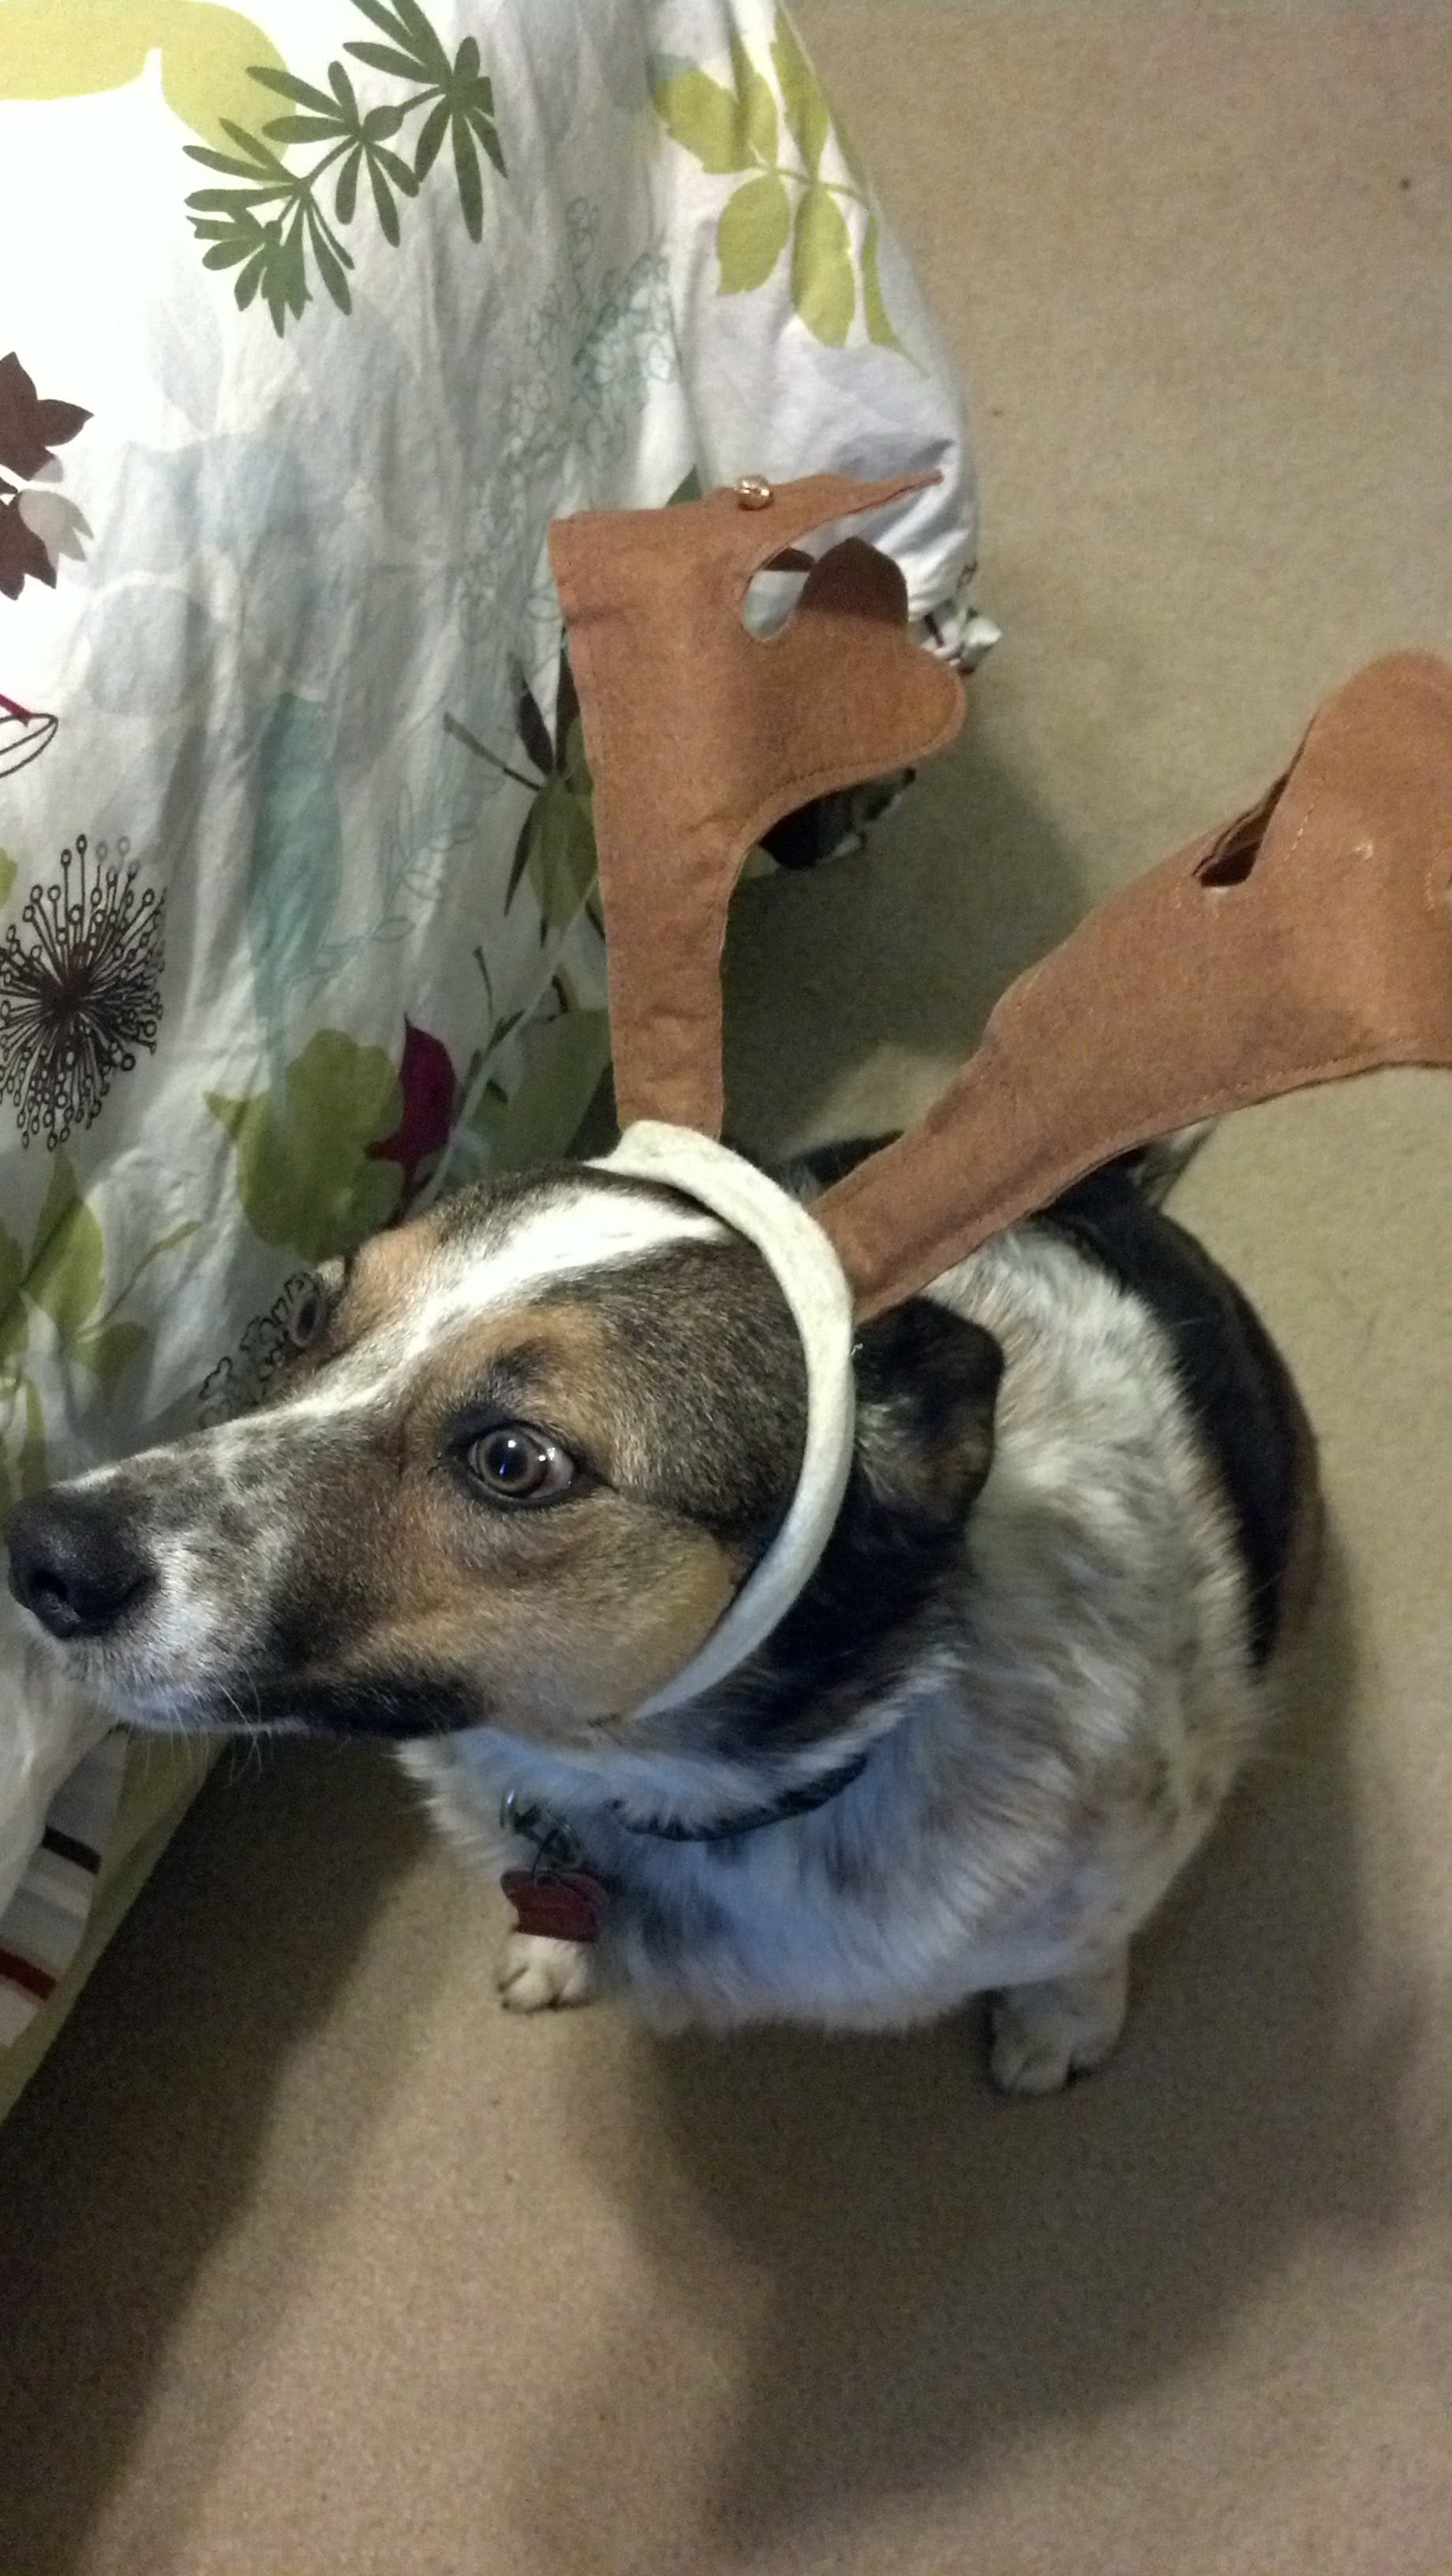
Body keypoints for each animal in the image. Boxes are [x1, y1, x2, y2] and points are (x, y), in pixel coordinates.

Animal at [4, 1132, 1318, 2092]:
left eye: (515, 1461)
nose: (40, 1555)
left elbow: (1085, 1944)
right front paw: (548, 1953)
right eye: (308, 1315)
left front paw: (1060, 2022)